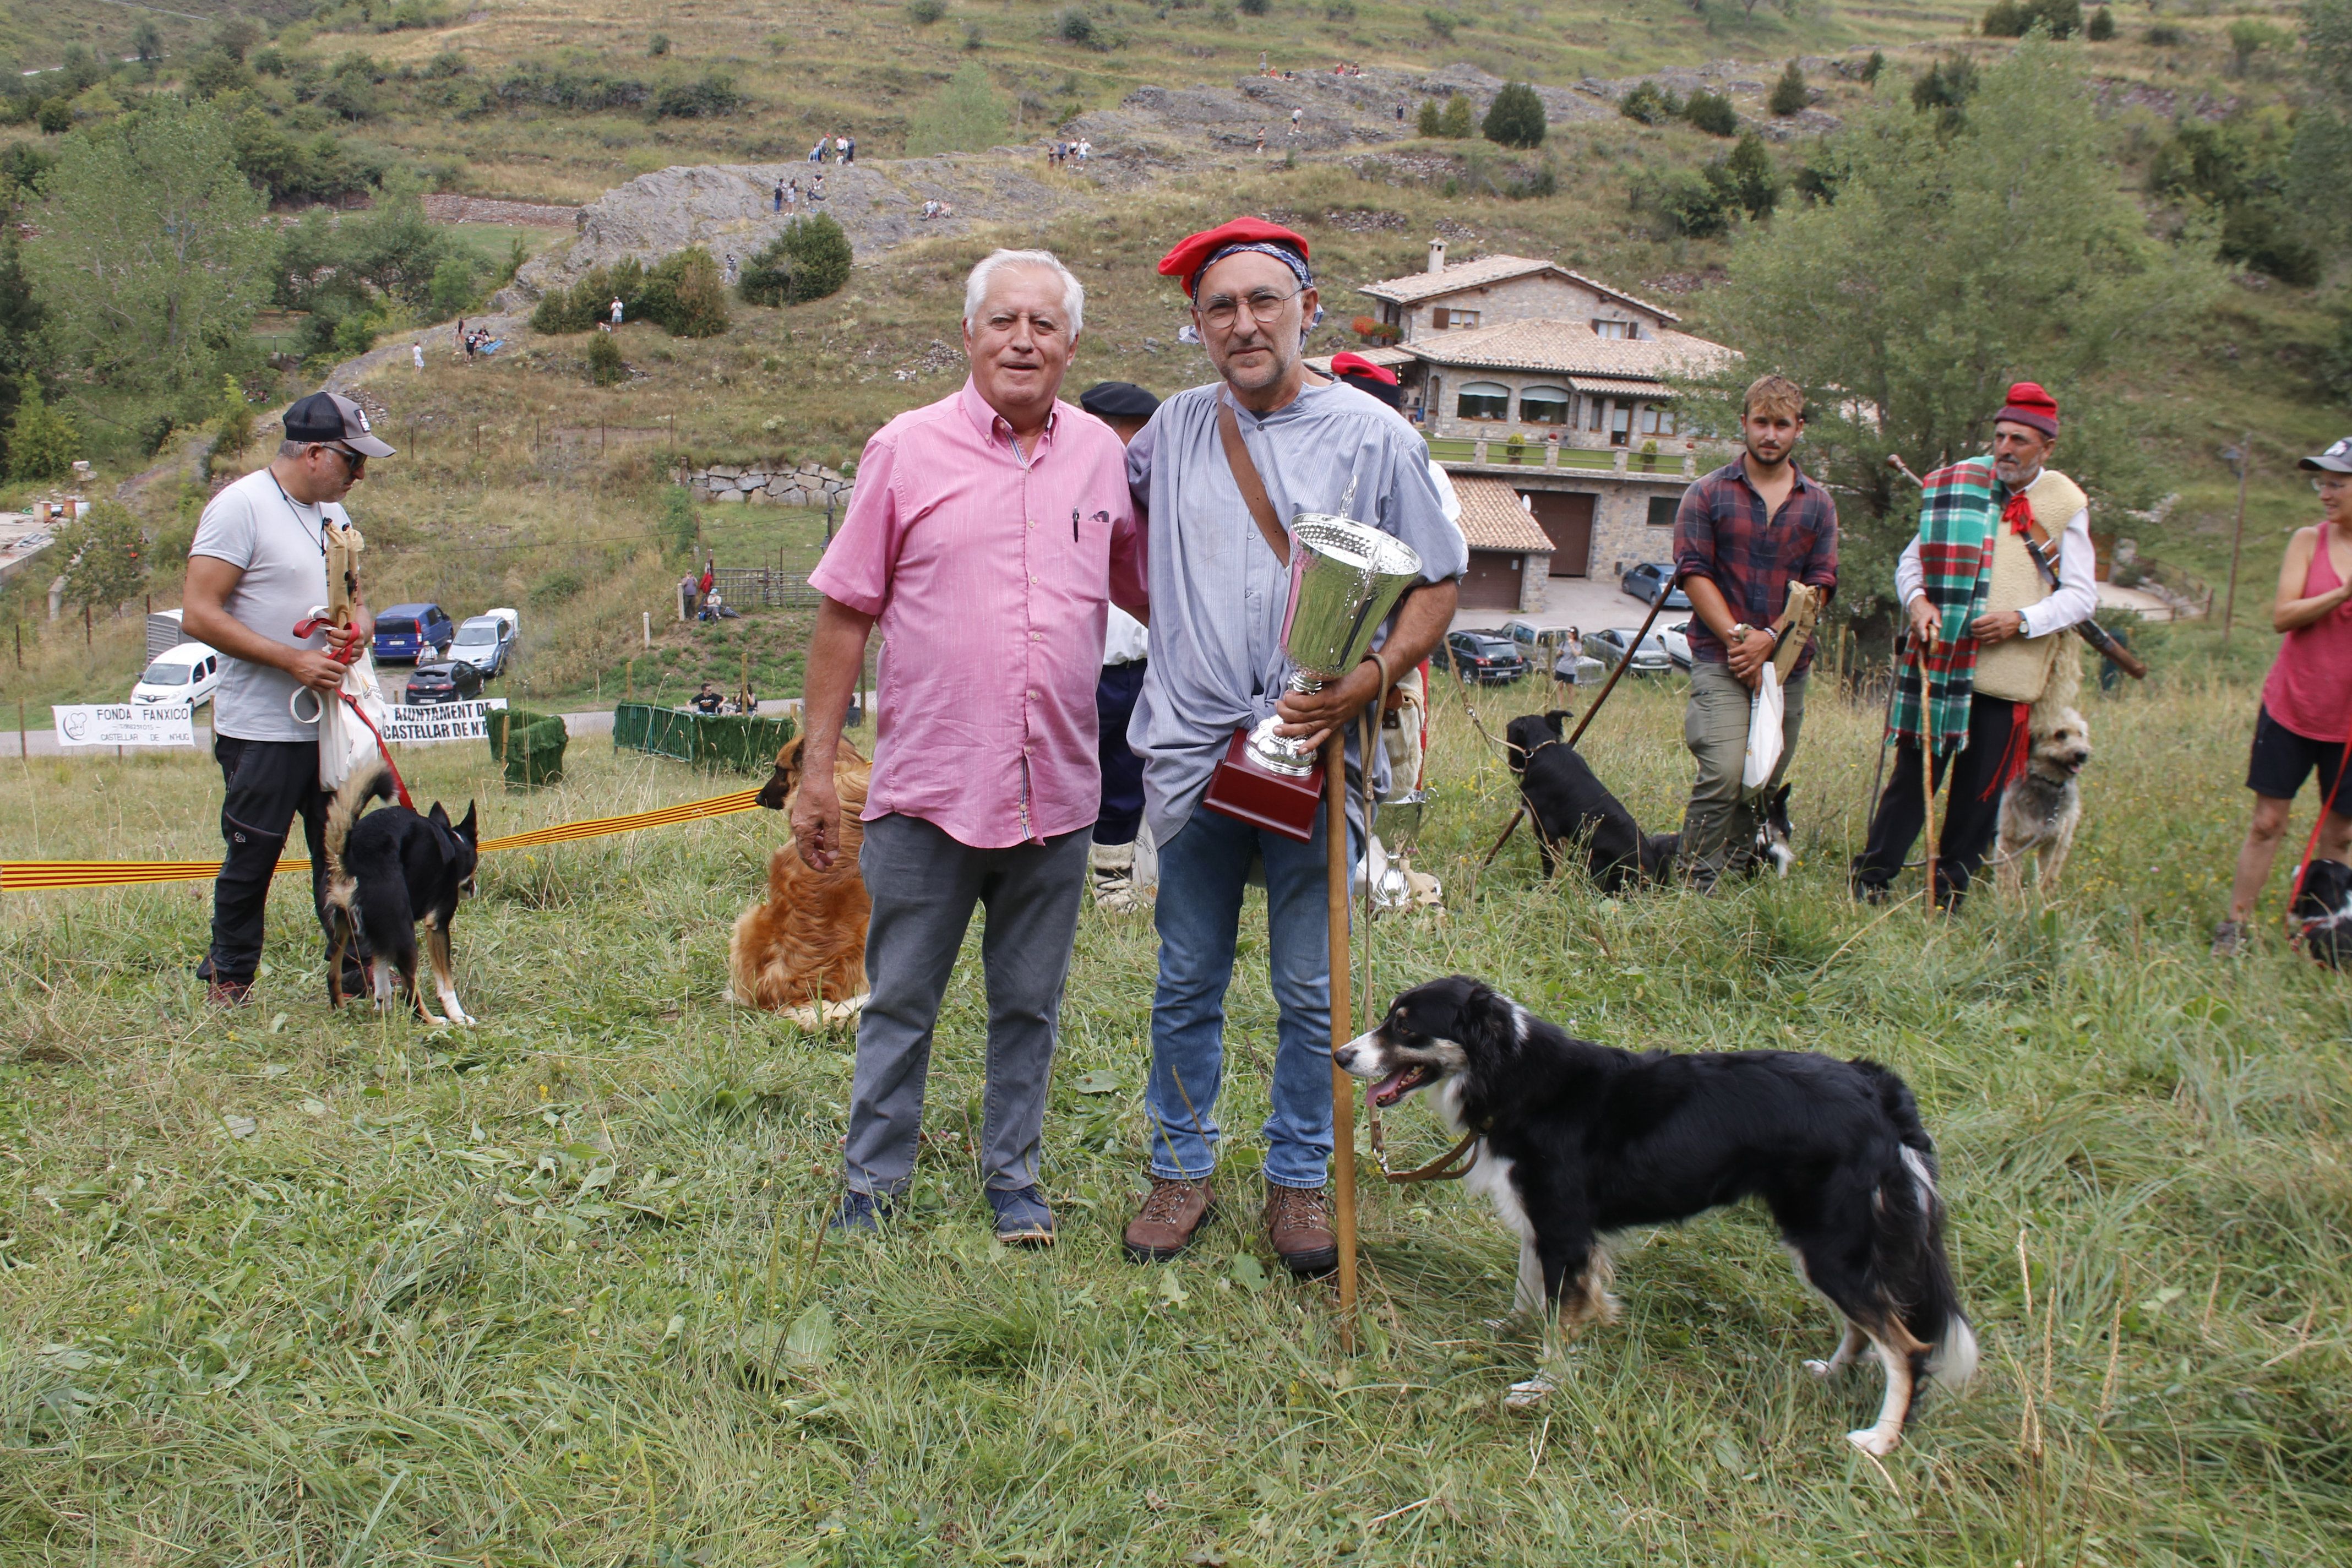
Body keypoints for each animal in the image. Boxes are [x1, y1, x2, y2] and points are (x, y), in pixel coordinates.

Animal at [1495, 715, 1684, 893]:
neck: (1543, 749)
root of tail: (1657, 881)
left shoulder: (1546, 831)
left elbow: (1549, 867)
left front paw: (1544, 889)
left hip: (1592, 857)